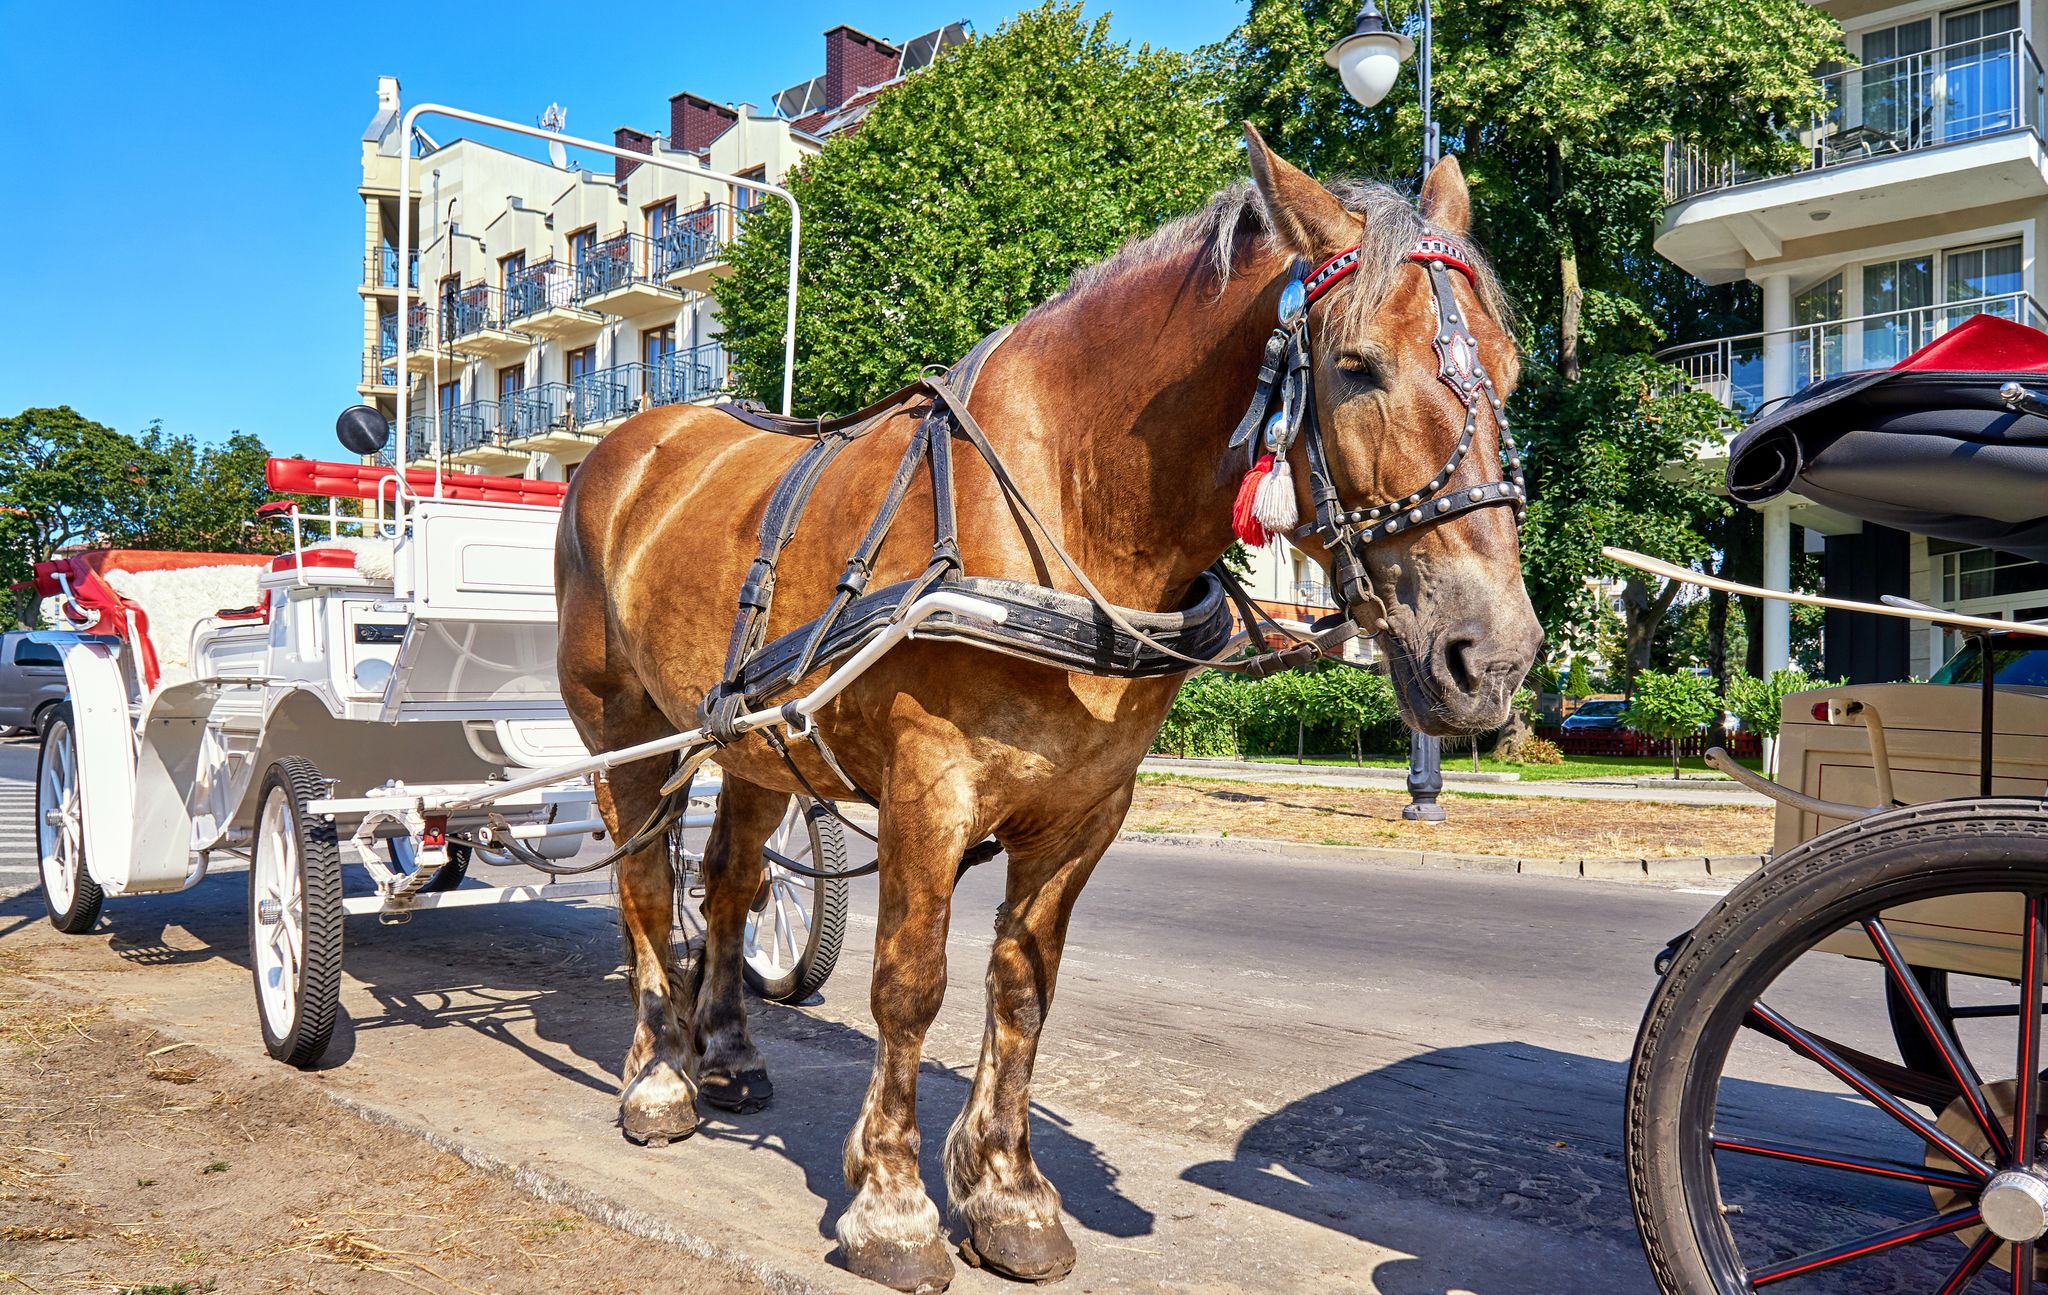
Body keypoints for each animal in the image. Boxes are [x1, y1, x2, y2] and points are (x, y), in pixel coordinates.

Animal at [555, 126, 1541, 1292]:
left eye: (1510, 371)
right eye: (1356, 368)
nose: (1494, 656)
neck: (1060, 497)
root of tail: (627, 449)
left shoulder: (1085, 809)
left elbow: (1023, 987)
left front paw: (1006, 1190)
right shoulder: (927, 791)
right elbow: (910, 983)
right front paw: (892, 1205)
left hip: (753, 738)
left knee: (727, 880)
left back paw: (727, 1054)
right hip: (621, 726)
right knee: (644, 888)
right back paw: (658, 1074)